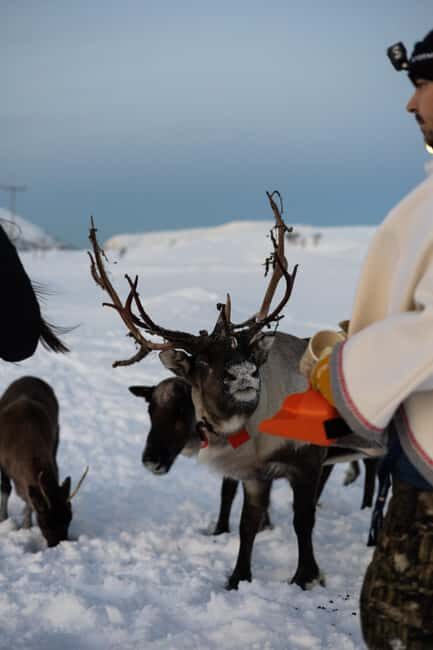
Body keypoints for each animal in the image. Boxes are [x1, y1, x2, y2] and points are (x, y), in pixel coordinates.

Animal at [0, 376, 88, 547]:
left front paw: (26, 526)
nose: (57, 545)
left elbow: (28, 501)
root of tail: (31, 377)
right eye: (46, 522)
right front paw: (3, 519)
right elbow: (6, 489)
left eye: (69, 518)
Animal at [88, 193, 343, 590]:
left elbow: (303, 521)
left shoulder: (308, 460)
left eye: (248, 353)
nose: (243, 374)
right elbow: (246, 523)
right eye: (204, 362)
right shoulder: (255, 474)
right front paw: (237, 577)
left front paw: (306, 576)